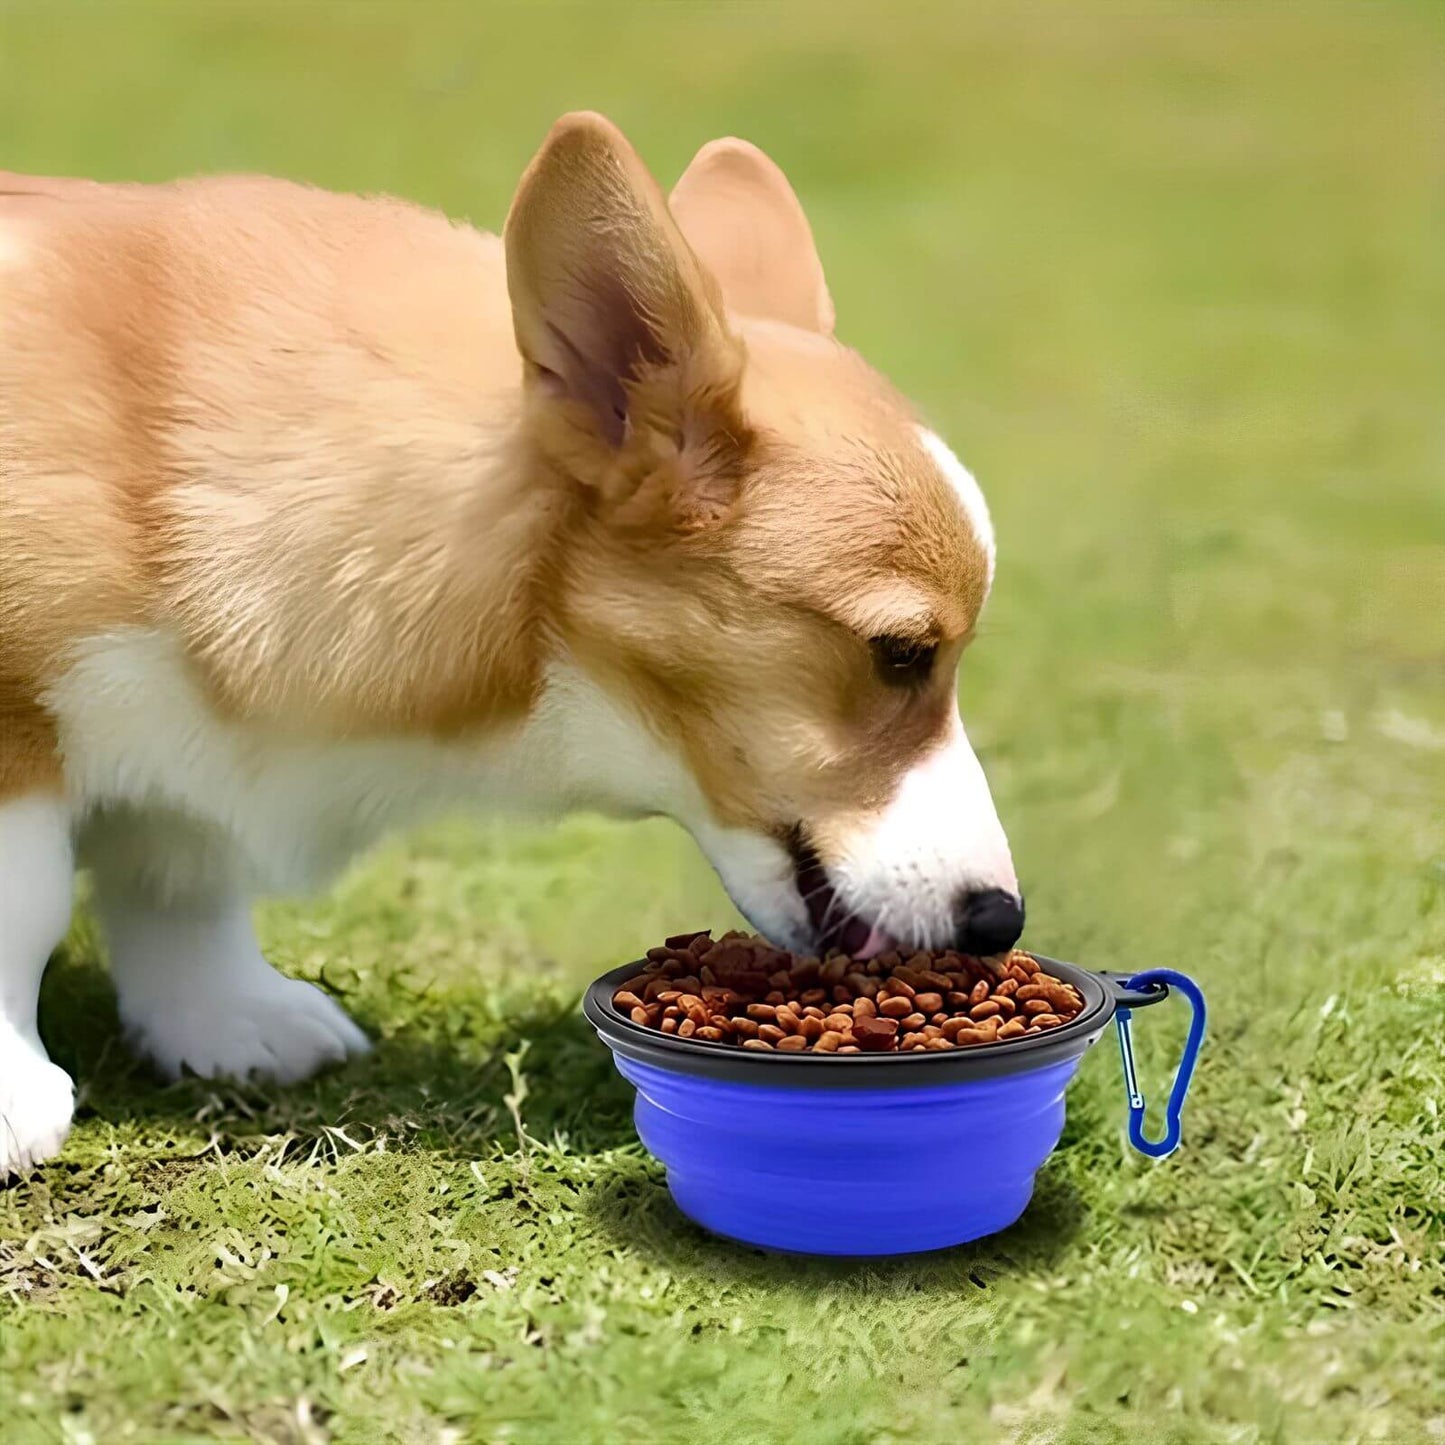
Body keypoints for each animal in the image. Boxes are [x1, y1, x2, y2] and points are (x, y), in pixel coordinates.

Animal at [0, 112, 1023, 1173]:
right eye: (900, 652)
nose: (1001, 921)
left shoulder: (184, 756)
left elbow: (181, 874)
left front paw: (225, 1019)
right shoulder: (18, 721)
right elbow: (27, 900)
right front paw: (16, 1097)